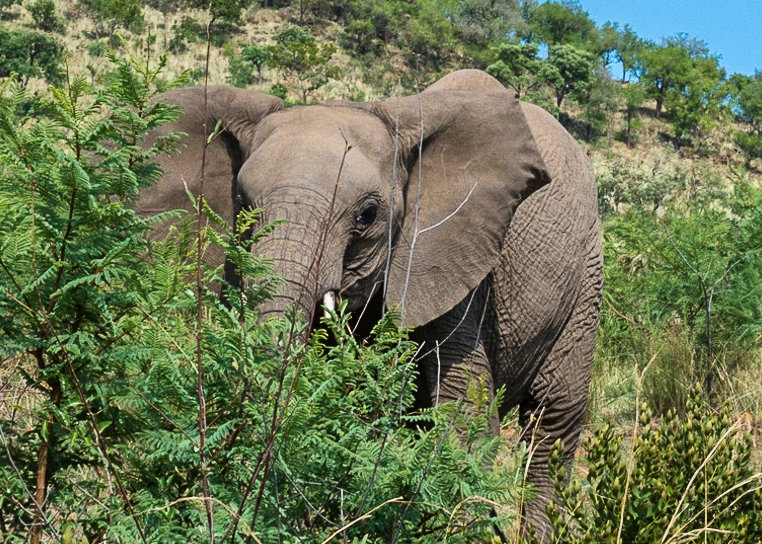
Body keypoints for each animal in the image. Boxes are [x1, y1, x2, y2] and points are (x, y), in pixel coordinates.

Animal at [135, 69, 600, 540]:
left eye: (367, 216)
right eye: (242, 205)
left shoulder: (450, 258)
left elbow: (463, 414)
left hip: (586, 280)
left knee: (553, 423)